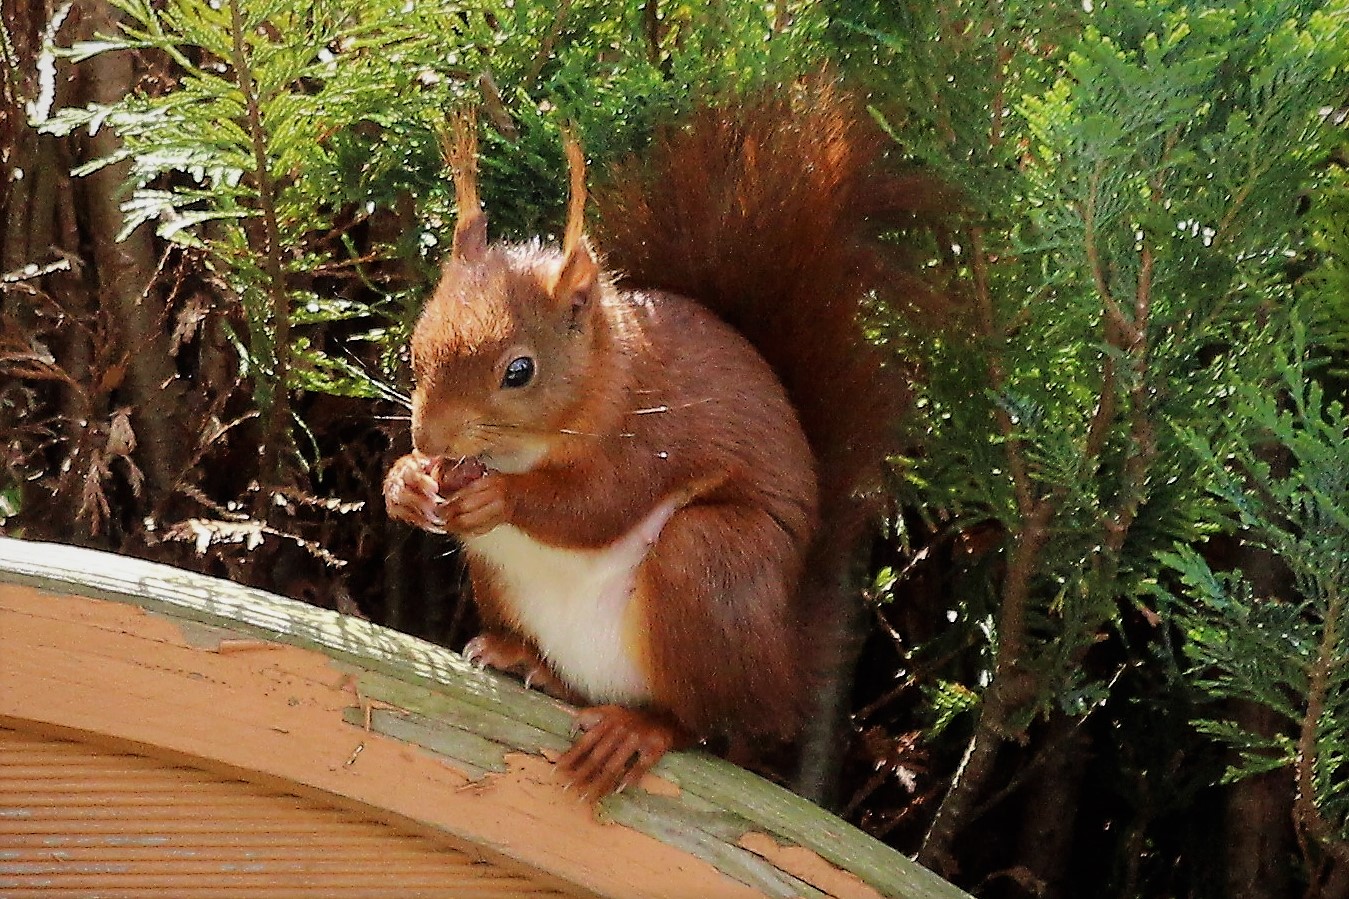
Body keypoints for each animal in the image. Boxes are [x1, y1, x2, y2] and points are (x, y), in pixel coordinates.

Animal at [380, 75, 933, 793]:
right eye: (416, 344)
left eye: (519, 371)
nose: (431, 440)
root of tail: (783, 671)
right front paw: (405, 483)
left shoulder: (654, 436)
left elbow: (598, 505)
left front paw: (501, 498)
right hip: (500, 578)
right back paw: (523, 658)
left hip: (710, 564)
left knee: (702, 723)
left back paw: (638, 731)